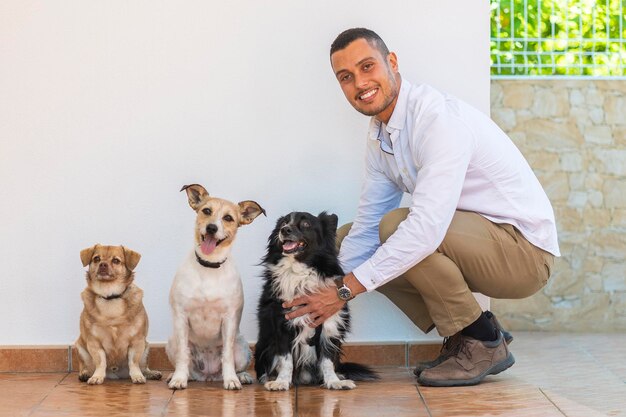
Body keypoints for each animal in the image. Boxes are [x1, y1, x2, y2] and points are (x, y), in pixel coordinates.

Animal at [74, 244, 161, 384]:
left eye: (116, 261)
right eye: (96, 259)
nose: (103, 264)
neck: (110, 296)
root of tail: (116, 375)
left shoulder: (137, 342)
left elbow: (133, 362)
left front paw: (137, 376)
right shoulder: (94, 343)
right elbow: (100, 362)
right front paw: (97, 376)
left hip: (146, 348)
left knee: (143, 367)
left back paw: (151, 373)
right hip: (80, 348)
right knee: (85, 365)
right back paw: (85, 373)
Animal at [166, 184, 264, 388]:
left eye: (228, 218)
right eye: (206, 211)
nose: (212, 227)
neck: (209, 265)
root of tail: (209, 376)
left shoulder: (229, 319)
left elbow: (227, 356)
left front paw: (232, 380)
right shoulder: (181, 315)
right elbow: (183, 356)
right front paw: (179, 378)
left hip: (242, 346)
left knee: (236, 362)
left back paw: (242, 376)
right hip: (172, 341)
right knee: (187, 362)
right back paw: (182, 375)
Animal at [252, 211, 376, 390]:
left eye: (306, 224)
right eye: (283, 223)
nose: (284, 230)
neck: (299, 270)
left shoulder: (329, 322)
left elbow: (327, 359)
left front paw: (333, 381)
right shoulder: (281, 323)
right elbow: (286, 359)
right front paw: (281, 382)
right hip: (262, 346)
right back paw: (269, 378)